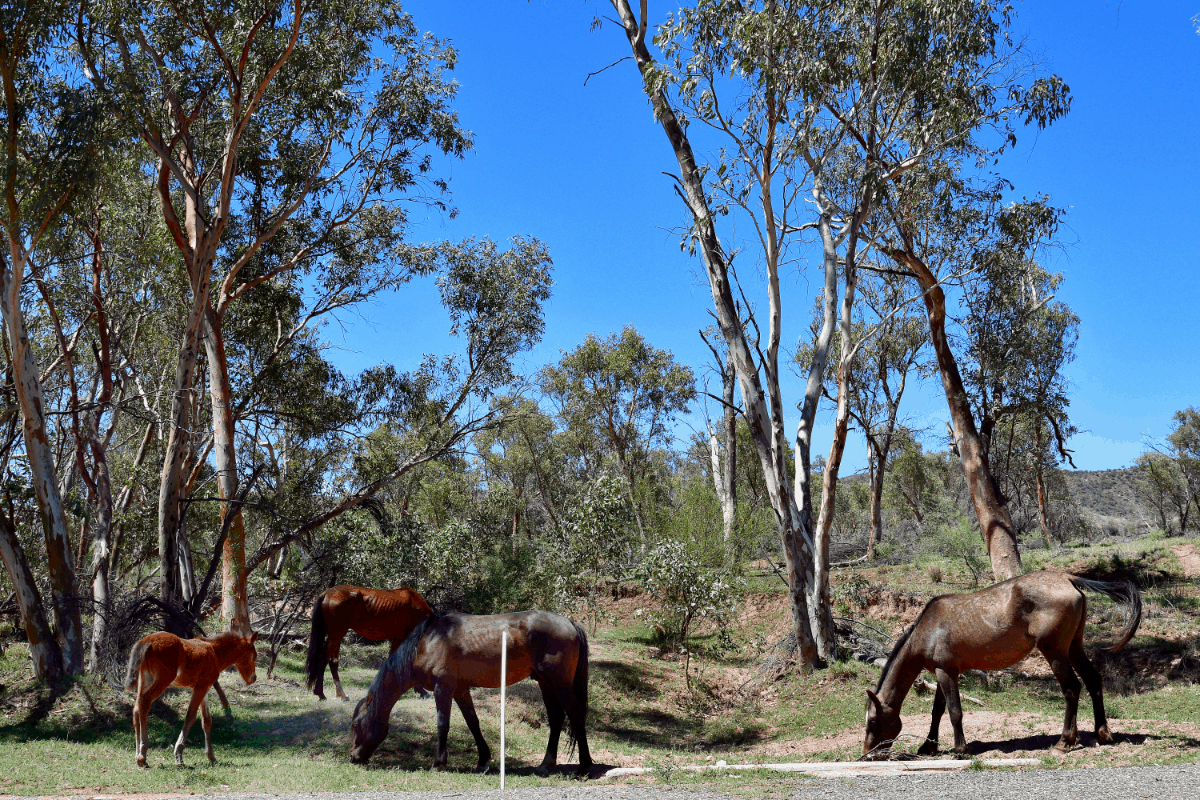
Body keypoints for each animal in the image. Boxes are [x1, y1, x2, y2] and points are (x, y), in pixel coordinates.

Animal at [124, 628, 258, 767]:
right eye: (254, 655)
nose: (253, 678)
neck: (214, 651)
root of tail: (147, 640)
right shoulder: (201, 688)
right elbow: (191, 716)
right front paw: (178, 754)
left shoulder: (203, 687)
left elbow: (206, 720)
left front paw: (211, 756)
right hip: (162, 680)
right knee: (144, 703)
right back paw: (143, 754)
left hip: (144, 679)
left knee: (136, 708)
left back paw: (138, 754)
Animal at [304, 582, 436, 700]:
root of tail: (326, 593)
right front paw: (421, 690)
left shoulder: (398, 639)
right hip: (336, 636)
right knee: (323, 660)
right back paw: (321, 694)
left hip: (336, 637)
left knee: (333, 662)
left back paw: (341, 694)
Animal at [350, 614, 592, 777]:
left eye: (356, 725)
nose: (353, 757)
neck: (427, 642)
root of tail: (570, 623)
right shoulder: (460, 690)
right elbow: (473, 722)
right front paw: (483, 761)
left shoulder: (443, 688)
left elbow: (442, 724)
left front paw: (438, 764)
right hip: (545, 683)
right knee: (557, 718)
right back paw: (545, 765)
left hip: (558, 683)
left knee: (576, 714)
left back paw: (584, 767)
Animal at [864, 573, 1142, 762]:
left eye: (874, 722)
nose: (867, 754)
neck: (928, 628)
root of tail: (1068, 579)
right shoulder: (945, 672)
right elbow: (937, 712)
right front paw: (928, 746)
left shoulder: (946, 673)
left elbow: (954, 712)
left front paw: (961, 750)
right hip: (1074, 648)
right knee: (1093, 680)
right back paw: (1102, 734)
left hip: (1055, 652)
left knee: (1072, 688)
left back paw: (1064, 741)